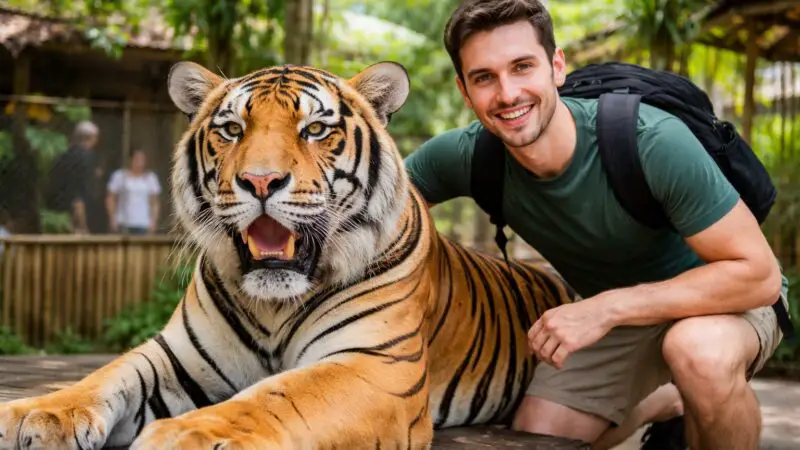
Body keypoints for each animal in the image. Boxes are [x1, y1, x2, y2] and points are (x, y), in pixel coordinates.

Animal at [0, 60, 577, 449]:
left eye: (315, 129)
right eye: (231, 129)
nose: (259, 181)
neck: (272, 304)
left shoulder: (373, 364)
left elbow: (278, 395)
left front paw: (185, 434)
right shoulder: (176, 355)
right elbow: (106, 376)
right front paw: (36, 416)